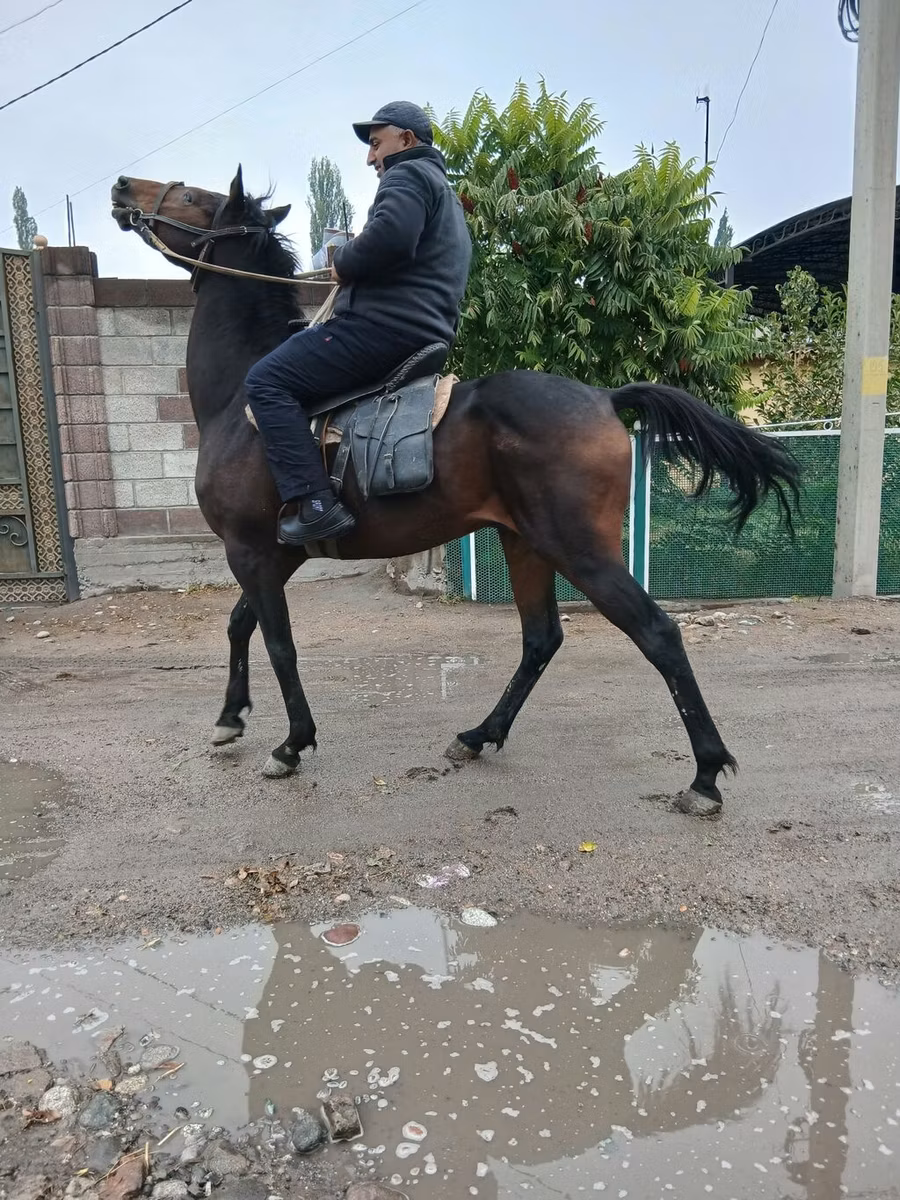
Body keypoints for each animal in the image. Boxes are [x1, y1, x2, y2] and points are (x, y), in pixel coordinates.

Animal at [110, 168, 799, 816]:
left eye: (194, 199)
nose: (121, 187)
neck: (240, 400)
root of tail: (606, 397)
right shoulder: (275, 553)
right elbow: (239, 625)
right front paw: (231, 717)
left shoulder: (250, 550)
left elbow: (278, 643)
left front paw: (292, 743)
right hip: (526, 544)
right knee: (541, 639)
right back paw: (479, 734)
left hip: (580, 551)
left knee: (658, 634)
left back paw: (705, 776)